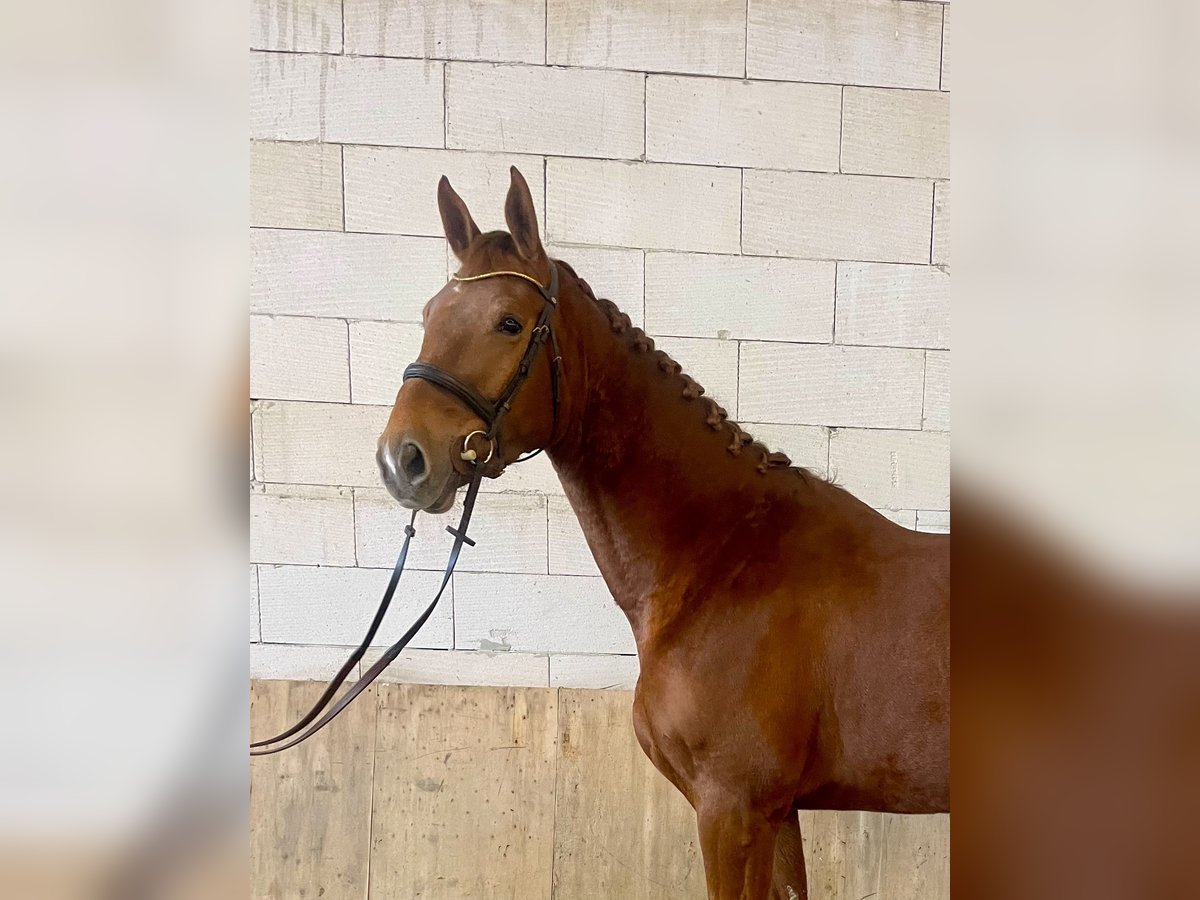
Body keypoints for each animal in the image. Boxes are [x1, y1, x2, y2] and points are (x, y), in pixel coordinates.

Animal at [376, 166, 950, 900]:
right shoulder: (777, 813)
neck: (721, 559)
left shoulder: (733, 809)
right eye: (428, 316)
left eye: (510, 322)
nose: (403, 458)